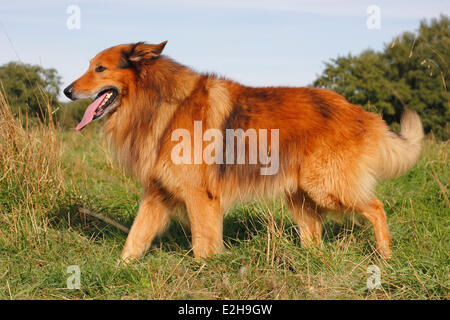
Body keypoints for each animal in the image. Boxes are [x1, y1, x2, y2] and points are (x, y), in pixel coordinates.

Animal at [65, 41, 424, 262]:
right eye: (90, 66)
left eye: (100, 69)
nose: (67, 91)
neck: (159, 101)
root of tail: (359, 111)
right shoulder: (156, 195)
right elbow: (134, 240)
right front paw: (119, 270)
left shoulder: (200, 197)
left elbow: (202, 246)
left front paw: (207, 272)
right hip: (300, 196)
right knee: (314, 235)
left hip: (327, 186)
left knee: (376, 207)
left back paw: (385, 256)